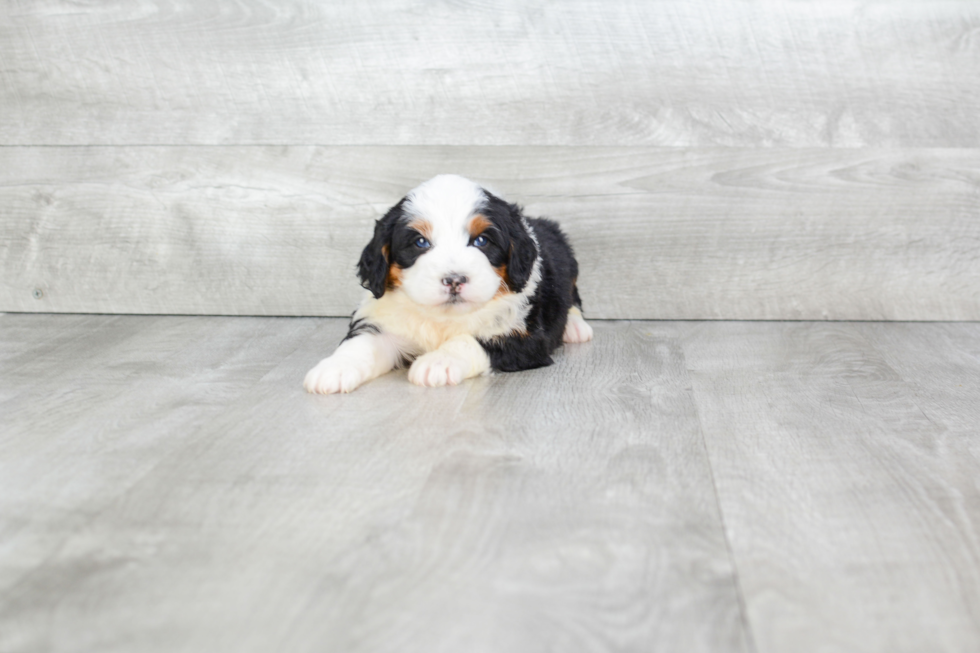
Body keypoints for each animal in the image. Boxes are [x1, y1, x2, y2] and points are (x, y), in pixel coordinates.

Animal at [302, 173, 592, 394]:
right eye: (420, 242)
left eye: (481, 241)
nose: (454, 280)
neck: (443, 319)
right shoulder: (385, 321)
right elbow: (362, 344)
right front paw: (334, 368)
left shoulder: (523, 336)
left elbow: (470, 340)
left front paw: (437, 362)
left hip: (569, 262)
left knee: (573, 298)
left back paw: (575, 328)